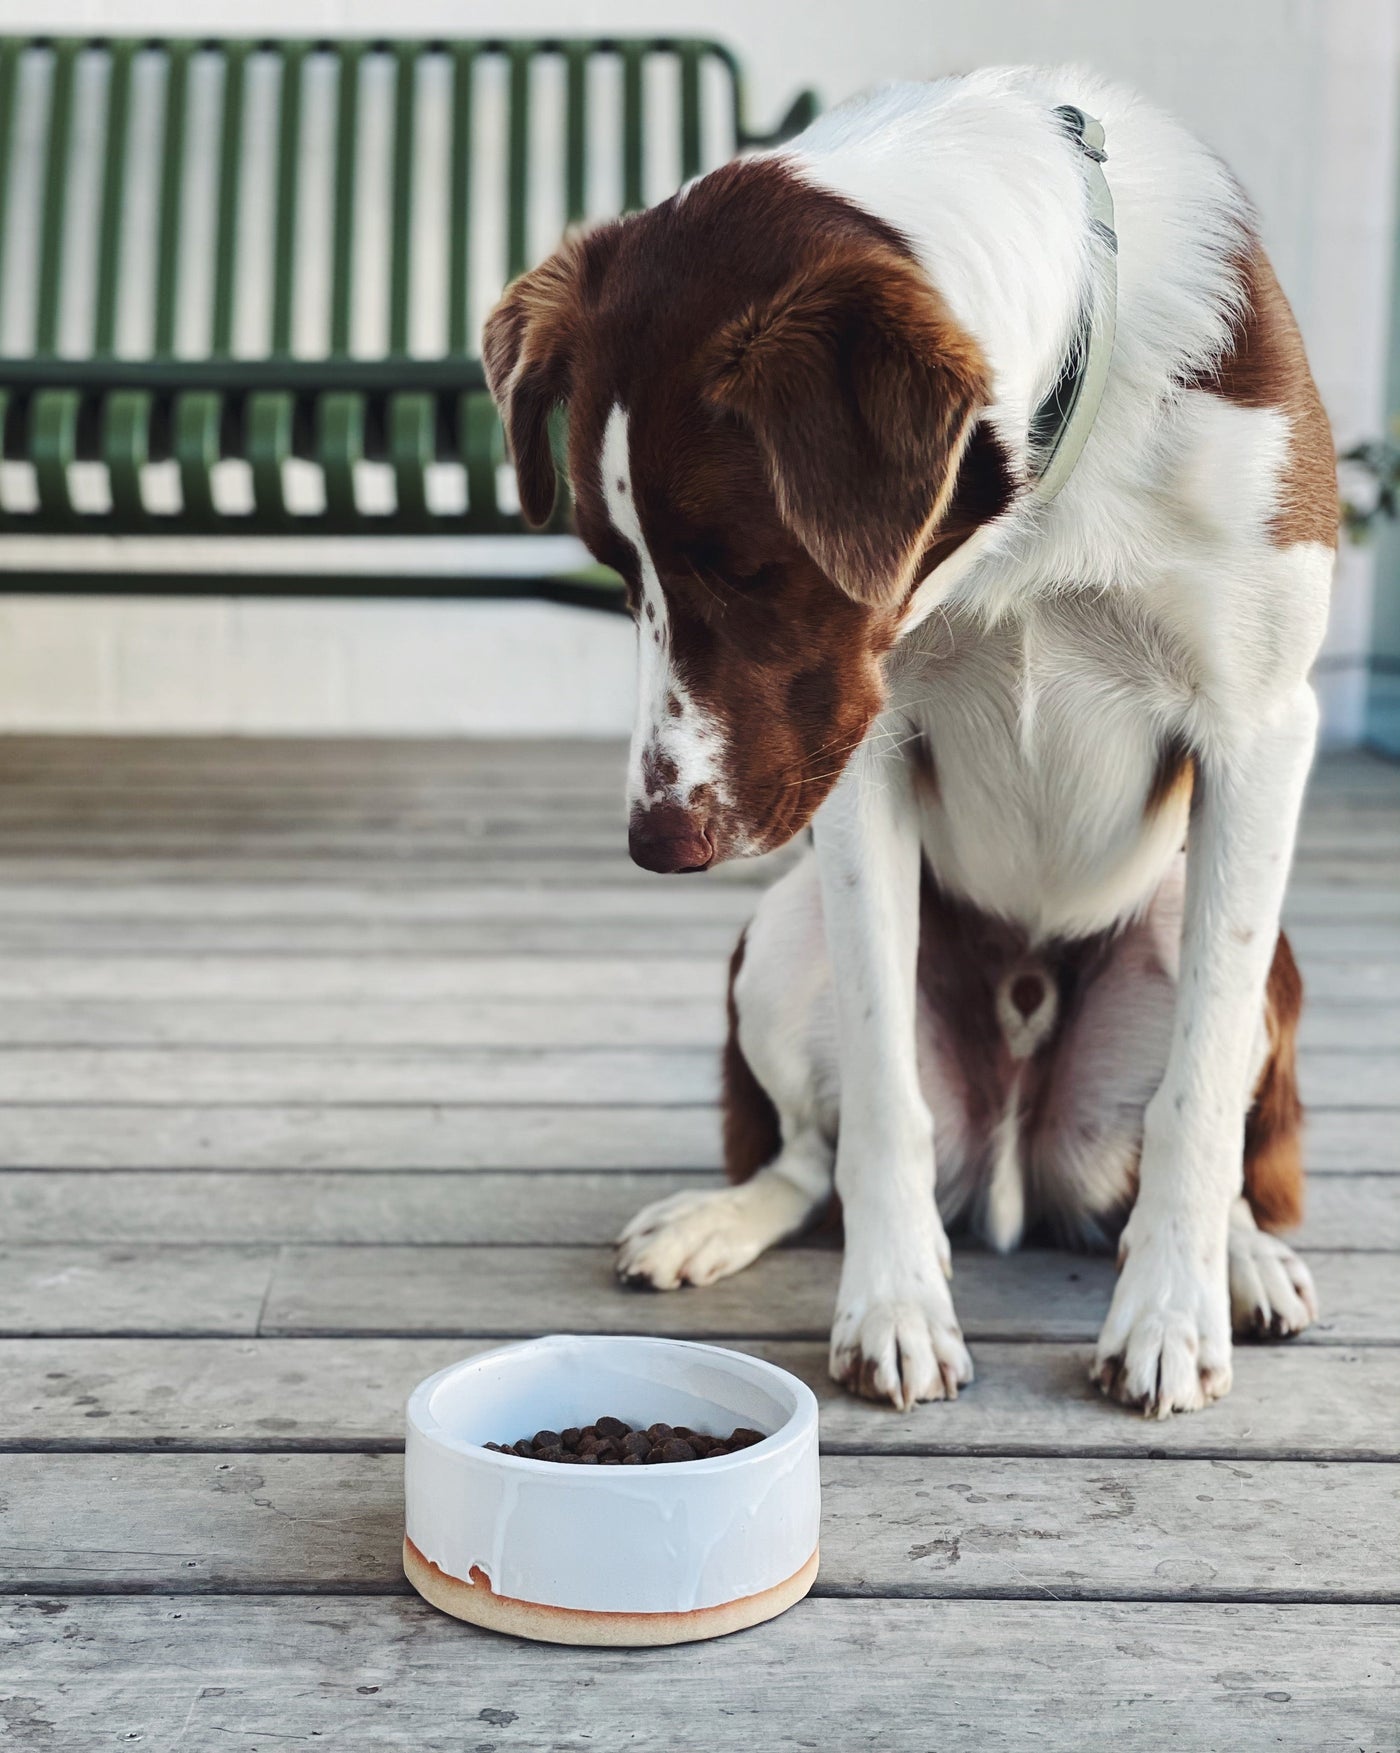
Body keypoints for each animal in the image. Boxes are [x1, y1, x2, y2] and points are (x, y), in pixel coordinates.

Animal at [483, 64, 1338, 1423]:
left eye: (746, 566)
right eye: (618, 573)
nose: (656, 843)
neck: (1043, 495)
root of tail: (1015, 1162)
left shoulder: (1259, 725)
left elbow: (1195, 1100)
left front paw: (1166, 1316)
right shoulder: (859, 754)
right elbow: (883, 1096)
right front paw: (891, 1306)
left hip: (1230, 953)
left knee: (1189, 1118)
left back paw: (1241, 1261)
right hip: (781, 936)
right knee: (805, 1155)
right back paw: (717, 1220)